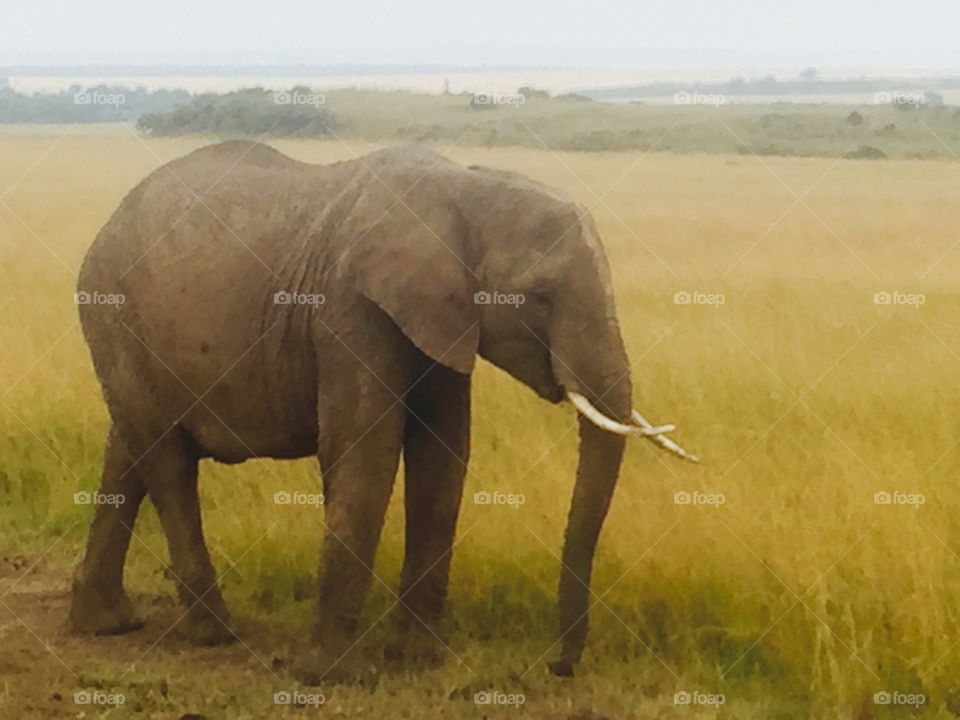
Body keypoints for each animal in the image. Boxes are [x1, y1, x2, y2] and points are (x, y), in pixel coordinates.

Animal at [69, 139, 696, 680]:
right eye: (539, 298)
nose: (558, 667)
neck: (466, 186)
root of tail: (106, 225)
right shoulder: (351, 307)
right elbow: (364, 454)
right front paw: (335, 676)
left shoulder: (440, 318)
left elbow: (443, 458)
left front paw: (417, 660)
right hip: (113, 313)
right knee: (166, 460)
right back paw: (214, 633)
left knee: (127, 452)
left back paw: (106, 624)